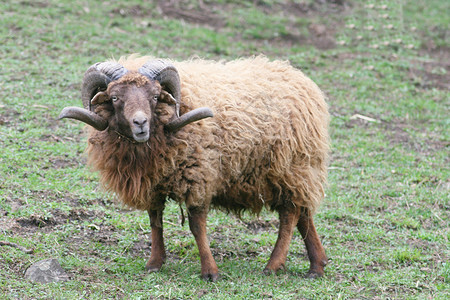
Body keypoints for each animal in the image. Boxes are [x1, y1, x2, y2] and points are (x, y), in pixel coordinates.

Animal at [58, 54, 328, 282]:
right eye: (115, 98)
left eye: (154, 97)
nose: (140, 123)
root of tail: (300, 79)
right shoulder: (153, 183)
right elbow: (155, 221)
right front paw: (155, 263)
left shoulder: (198, 177)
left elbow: (197, 227)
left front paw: (210, 271)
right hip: (296, 173)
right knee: (303, 213)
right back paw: (317, 265)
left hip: (289, 168)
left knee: (289, 216)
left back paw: (273, 265)